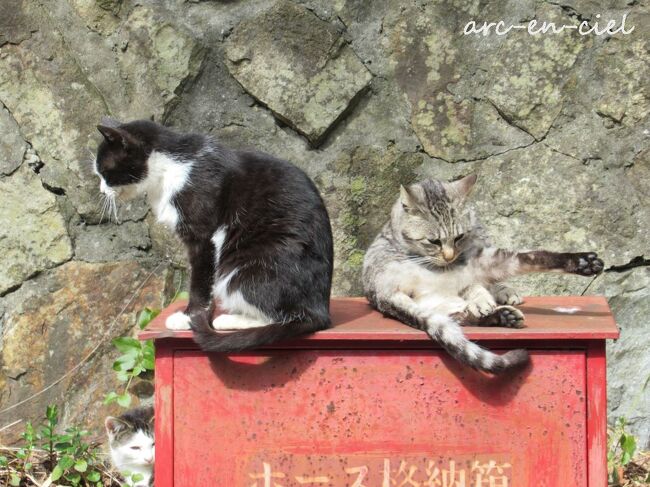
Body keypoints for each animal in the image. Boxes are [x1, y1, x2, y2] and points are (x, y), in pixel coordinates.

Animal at [93, 120, 332, 352]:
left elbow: (200, 281)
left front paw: (189, 318)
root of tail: (320, 310)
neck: (168, 168)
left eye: (105, 171)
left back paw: (229, 320)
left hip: (246, 265)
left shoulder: (204, 236)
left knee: (277, 316)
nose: (102, 191)